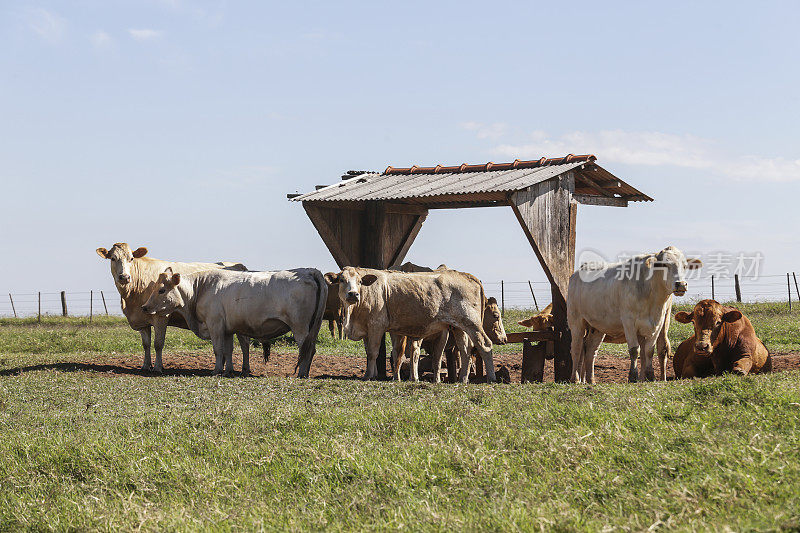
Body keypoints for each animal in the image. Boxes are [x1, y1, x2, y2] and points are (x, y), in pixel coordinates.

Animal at [96, 243, 260, 372]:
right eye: (113, 258)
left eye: (131, 258)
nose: (124, 277)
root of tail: (238, 264)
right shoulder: (142, 319)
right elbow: (146, 344)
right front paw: (145, 366)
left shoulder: (161, 316)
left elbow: (158, 344)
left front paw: (158, 367)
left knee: (244, 342)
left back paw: (245, 368)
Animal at [141, 264, 328, 374]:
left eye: (162, 290)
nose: (144, 307)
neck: (202, 288)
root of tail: (309, 271)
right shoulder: (228, 329)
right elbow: (228, 350)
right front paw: (228, 370)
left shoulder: (215, 324)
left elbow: (218, 349)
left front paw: (216, 370)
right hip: (314, 326)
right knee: (311, 349)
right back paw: (306, 373)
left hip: (300, 327)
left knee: (306, 349)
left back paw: (301, 373)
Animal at [324, 266, 494, 382]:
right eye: (341, 280)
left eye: (360, 281)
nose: (353, 294)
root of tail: (466, 275)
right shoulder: (365, 328)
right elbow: (369, 352)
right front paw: (370, 373)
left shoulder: (376, 326)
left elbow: (373, 352)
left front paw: (368, 376)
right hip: (458, 327)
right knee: (465, 351)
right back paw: (463, 379)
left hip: (472, 323)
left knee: (484, 345)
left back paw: (491, 378)